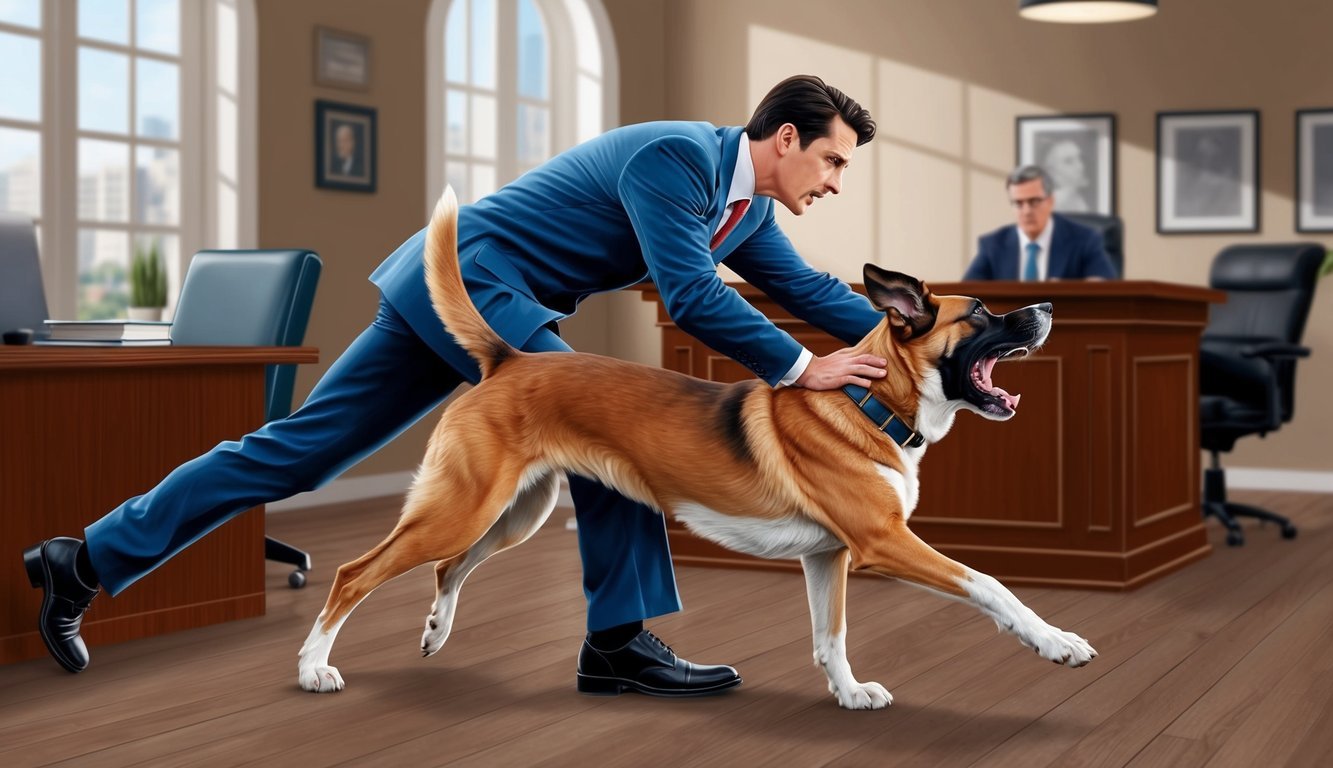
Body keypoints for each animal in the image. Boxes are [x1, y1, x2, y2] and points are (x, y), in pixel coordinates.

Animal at [297, 189, 1098, 709]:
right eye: (983, 314)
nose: (1047, 305)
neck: (869, 403)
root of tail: (508, 359)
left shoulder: (828, 558)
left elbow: (830, 634)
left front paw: (847, 693)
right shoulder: (882, 542)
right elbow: (989, 585)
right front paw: (1056, 641)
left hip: (513, 514)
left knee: (446, 567)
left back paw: (435, 634)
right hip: (464, 506)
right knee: (354, 573)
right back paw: (312, 669)